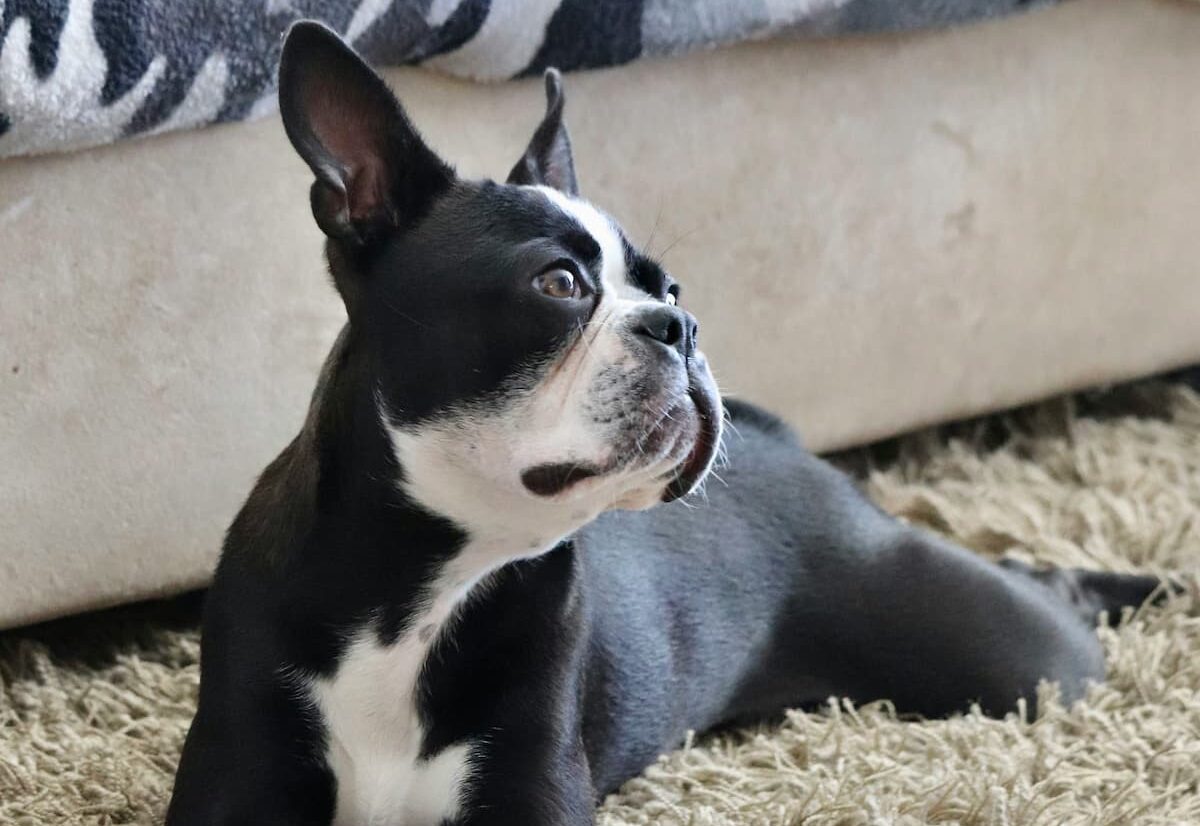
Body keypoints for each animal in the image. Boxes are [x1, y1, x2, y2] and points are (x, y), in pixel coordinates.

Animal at [166, 21, 1161, 826]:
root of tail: (786, 445)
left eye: (668, 286)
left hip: (1007, 660)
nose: (679, 324)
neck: (420, 584)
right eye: (559, 283)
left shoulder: (529, 788)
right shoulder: (240, 778)